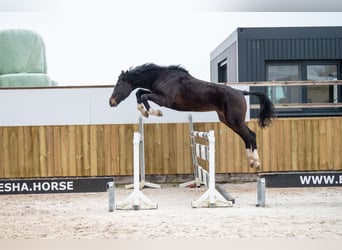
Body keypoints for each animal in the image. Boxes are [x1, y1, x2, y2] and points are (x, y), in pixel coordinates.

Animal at [109, 63, 276, 169]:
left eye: (119, 84)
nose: (111, 102)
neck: (161, 77)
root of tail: (241, 93)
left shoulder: (164, 100)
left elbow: (143, 96)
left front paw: (152, 112)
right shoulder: (156, 95)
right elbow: (139, 93)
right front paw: (145, 111)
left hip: (235, 120)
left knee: (251, 135)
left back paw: (256, 162)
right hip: (228, 121)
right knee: (246, 137)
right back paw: (252, 162)